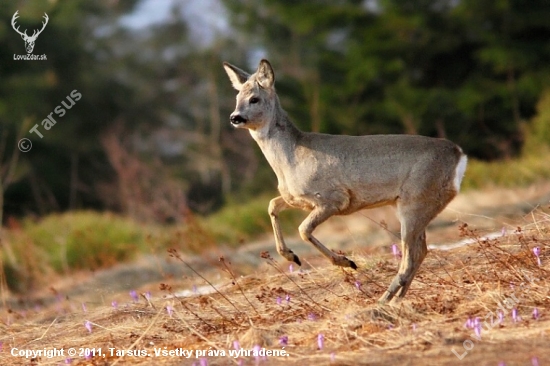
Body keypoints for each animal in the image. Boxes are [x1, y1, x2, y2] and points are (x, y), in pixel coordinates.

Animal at [224, 58, 470, 302]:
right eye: (237, 98)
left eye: (254, 98)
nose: (235, 117)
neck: (291, 157)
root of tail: (459, 154)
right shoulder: (297, 198)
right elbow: (272, 205)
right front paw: (291, 256)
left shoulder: (334, 198)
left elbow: (303, 229)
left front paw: (347, 262)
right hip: (417, 204)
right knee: (421, 252)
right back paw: (396, 300)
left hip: (416, 201)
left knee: (411, 255)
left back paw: (382, 301)